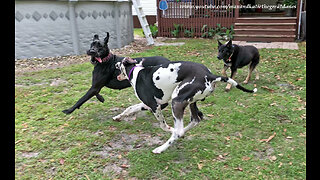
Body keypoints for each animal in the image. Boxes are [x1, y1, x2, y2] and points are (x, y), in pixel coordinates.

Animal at [116, 57, 256, 153]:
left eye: (119, 65)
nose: (117, 75)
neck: (135, 72)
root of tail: (210, 75)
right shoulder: (150, 104)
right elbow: (130, 108)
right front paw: (118, 117)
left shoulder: (156, 106)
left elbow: (163, 125)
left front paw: (169, 130)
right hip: (190, 102)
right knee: (195, 120)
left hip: (176, 101)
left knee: (179, 131)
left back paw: (161, 148)